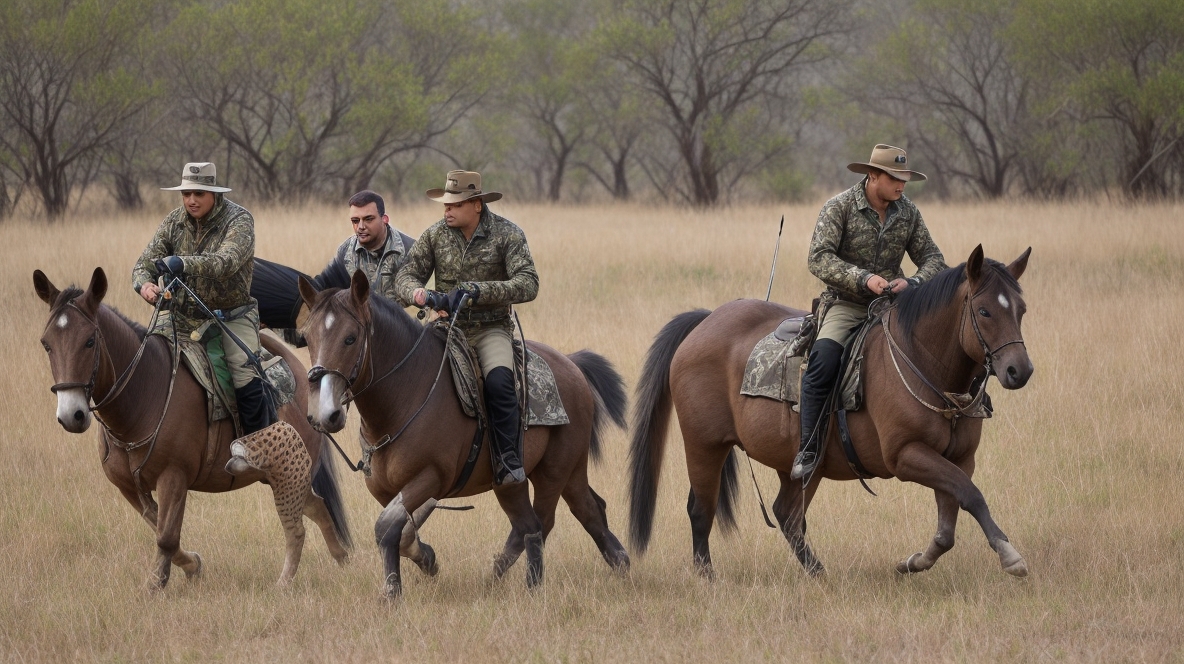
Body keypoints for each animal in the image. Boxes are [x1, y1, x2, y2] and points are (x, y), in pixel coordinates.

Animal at [33, 266, 350, 587]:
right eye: (46, 344)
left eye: (89, 341)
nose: (71, 415)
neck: (143, 397)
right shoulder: (129, 487)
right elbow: (161, 530)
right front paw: (192, 565)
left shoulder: (174, 478)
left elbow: (166, 538)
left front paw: (157, 583)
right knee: (317, 507)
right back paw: (342, 560)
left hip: (288, 475)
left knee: (298, 526)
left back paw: (292, 579)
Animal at [298, 269, 629, 596]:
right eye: (308, 337)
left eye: (350, 338)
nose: (325, 415)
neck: (406, 394)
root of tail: (572, 366)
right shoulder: (384, 490)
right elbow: (403, 534)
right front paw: (426, 560)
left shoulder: (431, 477)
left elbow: (386, 527)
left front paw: (393, 593)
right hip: (520, 481)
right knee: (557, 517)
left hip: (556, 471)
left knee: (547, 520)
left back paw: (536, 585)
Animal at [634, 246, 1032, 577]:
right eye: (984, 311)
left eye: (1021, 310)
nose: (1020, 370)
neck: (922, 361)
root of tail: (705, 321)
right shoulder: (907, 456)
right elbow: (971, 494)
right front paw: (1009, 554)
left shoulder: (959, 458)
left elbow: (949, 522)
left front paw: (915, 561)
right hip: (705, 445)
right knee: (702, 510)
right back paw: (707, 576)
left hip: (799, 465)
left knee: (787, 515)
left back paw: (818, 574)